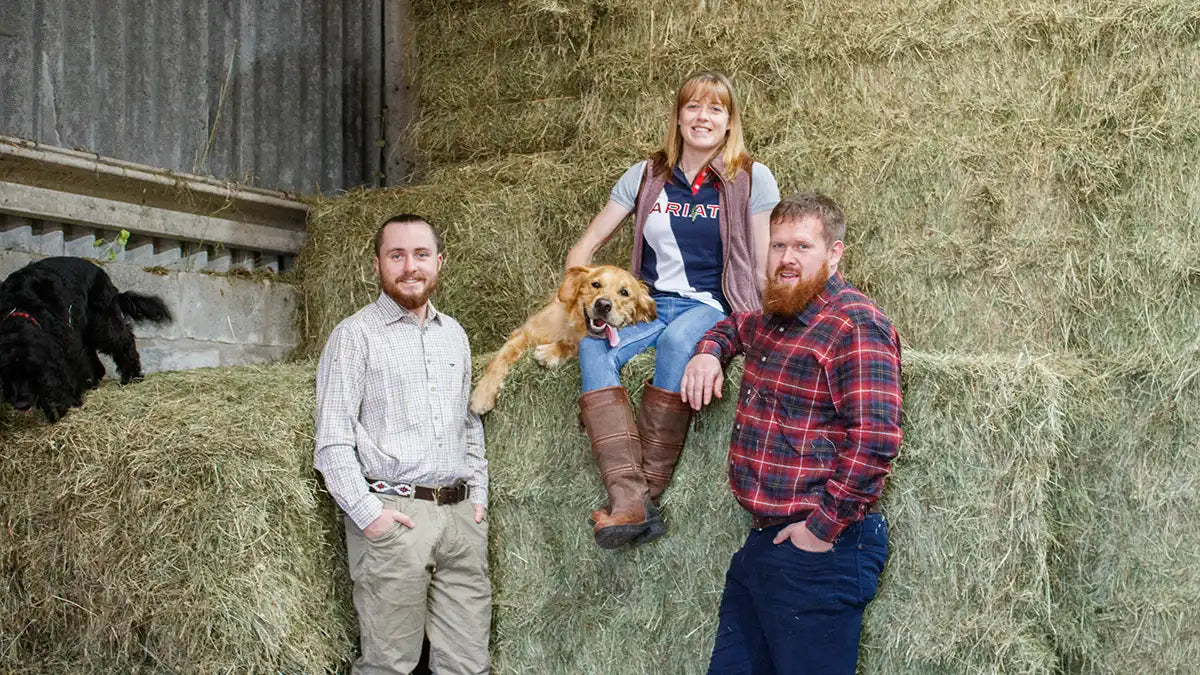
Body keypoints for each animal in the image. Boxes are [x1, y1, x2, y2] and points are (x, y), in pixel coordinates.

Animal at [0, 255, 174, 420]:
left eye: (32, 370)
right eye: (7, 373)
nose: (21, 404)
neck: (19, 308)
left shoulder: (65, 347)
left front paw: (67, 404)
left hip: (103, 324)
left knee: (124, 342)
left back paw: (132, 377)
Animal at [468, 264, 657, 413]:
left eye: (624, 292)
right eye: (595, 284)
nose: (603, 305)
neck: (576, 326)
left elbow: (572, 346)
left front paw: (551, 352)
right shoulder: (522, 334)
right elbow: (498, 362)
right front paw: (482, 395)